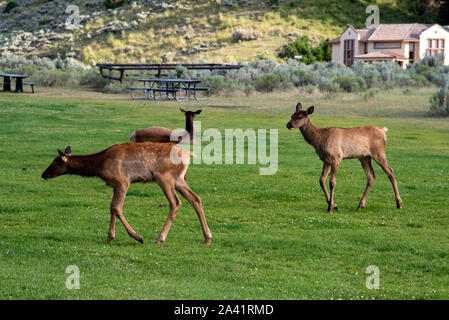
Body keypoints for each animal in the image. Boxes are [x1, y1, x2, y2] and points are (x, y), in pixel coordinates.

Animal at [40, 144, 212, 244]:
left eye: (54, 163)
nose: (43, 174)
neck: (100, 166)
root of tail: (189, 154)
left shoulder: (122, 182)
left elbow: (117, 208)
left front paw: (137, 236)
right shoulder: (115, 186)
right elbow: (111, 208)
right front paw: (110, 237)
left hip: (164, 178)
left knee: (175, 203)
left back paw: (160, 238)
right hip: (180, 180)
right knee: (196, 199)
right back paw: (207, 237)